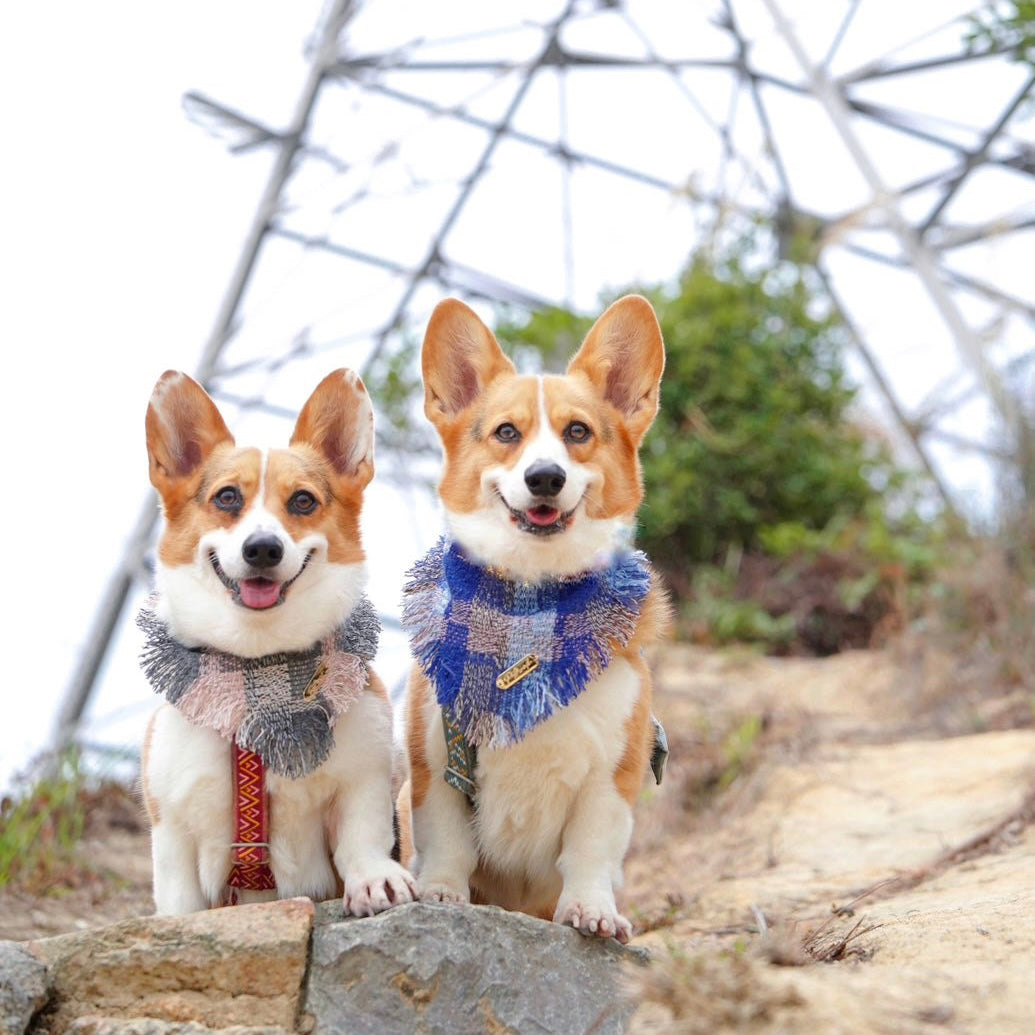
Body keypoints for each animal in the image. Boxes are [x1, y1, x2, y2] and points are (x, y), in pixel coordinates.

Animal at [139, 368, 414, 919]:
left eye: (302, 501)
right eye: (227, 497)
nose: (262, 549)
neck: (258, 665)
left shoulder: (364, 781)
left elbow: (362, 837)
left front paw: (376, 879)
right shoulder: (174, 825)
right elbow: (180, 900)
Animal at [399, 296, 666, 943]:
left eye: (578, 432)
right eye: (506, 433)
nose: (545, 477)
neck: (529, 607)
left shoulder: (611, 776)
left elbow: (590, 851)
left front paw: (593, 912)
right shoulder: (435, 761)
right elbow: (446, 838)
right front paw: (440, 892)